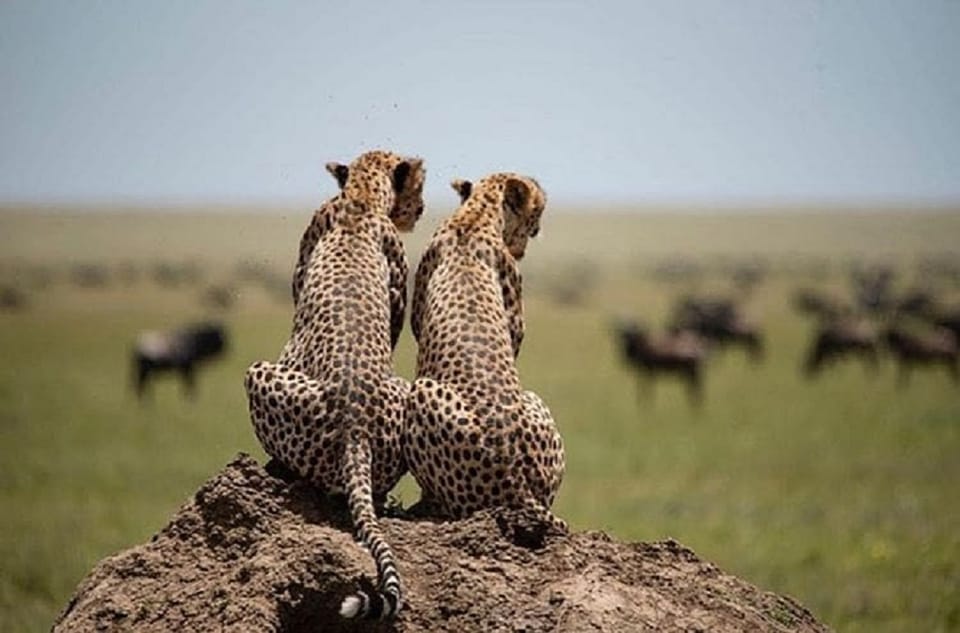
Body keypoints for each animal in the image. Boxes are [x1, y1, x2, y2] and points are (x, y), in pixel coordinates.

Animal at [246, 149, 426, 616]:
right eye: (418, 185)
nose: (419, 210)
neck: (361, 198)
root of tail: (355, 429)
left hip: (257, 372)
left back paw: (277, 469)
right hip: (404, 397)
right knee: (373, 491)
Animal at [404, 174, 568, 532]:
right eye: (538, 209)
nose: (537, 228)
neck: (477, 212)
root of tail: (516, 477)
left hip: (423, 390)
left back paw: (423, 506)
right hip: (531, 402)